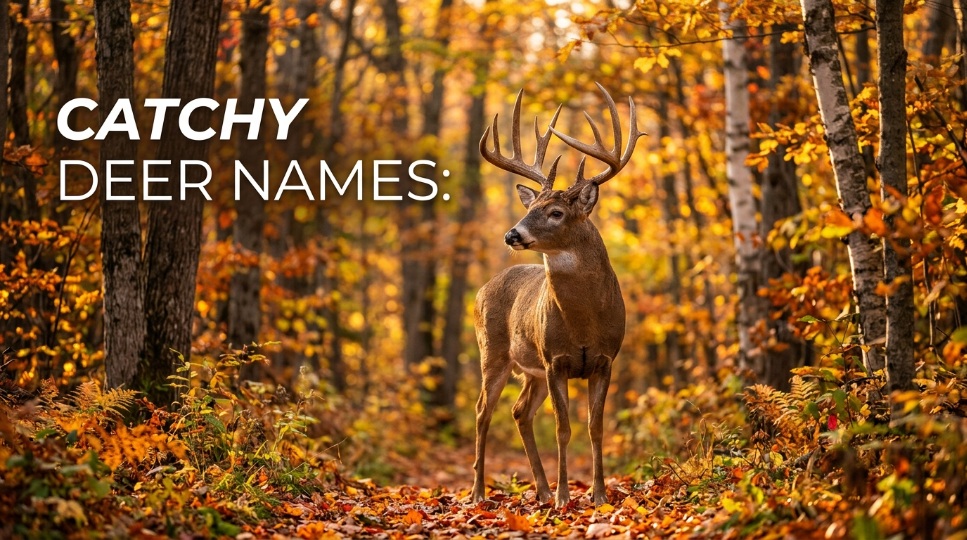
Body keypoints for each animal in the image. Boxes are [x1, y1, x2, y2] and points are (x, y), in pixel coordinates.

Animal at [470, 83, 644, 508]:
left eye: (556, 213)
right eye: (530, 205)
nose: (512, 234)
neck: (583, 323)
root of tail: (483, 288)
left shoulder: (605, 360)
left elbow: (595, 427)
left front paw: (598, 494)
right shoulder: (554, 360)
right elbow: (563, 429)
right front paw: (567, 496)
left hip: (527, 369)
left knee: (519, 411)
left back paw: (542, 489)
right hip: (493, 352)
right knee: (483, 411)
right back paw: (480, 491)